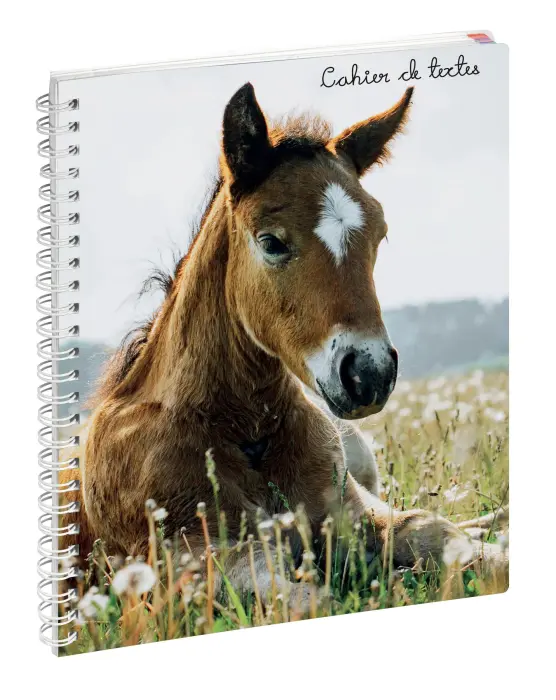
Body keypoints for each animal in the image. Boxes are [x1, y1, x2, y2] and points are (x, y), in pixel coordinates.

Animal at [67, 83, 496, 602]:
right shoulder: (190, 563)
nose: (369, 374)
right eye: (270, 242)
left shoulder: (357, 512)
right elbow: (305, 595)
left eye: (380, 234)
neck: (245, 431)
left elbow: (432, 528)